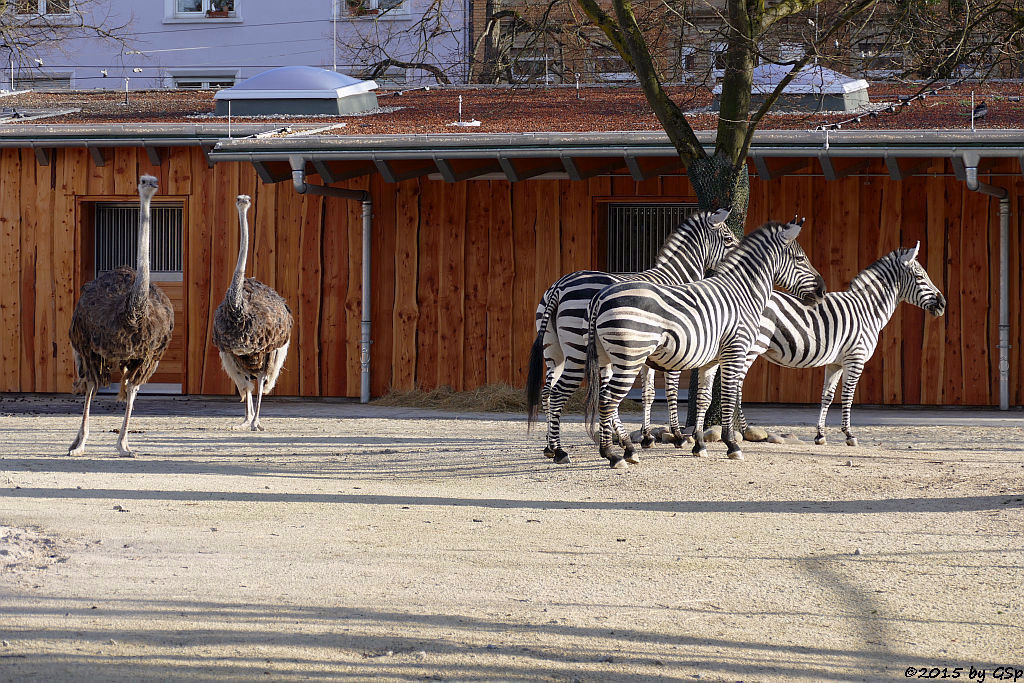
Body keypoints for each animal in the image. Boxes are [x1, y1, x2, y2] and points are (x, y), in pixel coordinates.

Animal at [528, 208, 737, 464]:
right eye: (728, 239)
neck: (675, 277)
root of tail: (559, 285)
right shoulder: (673, 347)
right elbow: (670, 391)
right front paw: (678, 436)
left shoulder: (647, 352)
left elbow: (648, 393)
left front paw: (647, 436)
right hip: (578, 351)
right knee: (561, 393)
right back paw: (562, 451)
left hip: (554, 351)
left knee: (548, 392)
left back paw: (551, 446)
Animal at [581, 222, 827, 466]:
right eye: (800, 258)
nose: (823, 291)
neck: (742, 293)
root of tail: (600, 297)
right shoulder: (735, 351)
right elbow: (728, 395)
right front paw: (732, 444)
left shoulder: (712, 360)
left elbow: (704, 398)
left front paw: (699, 444)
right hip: (630, 357)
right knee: (608, 399)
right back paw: (613, 454)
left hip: (607, 359)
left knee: (605, 397)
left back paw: (625, 449)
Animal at [733, 242, 946, 446]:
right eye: (919, 277)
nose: (943, 303)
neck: (866, 310)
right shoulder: (855, 358)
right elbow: (847, 396)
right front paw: (849, 435)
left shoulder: (835, 363)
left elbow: (826, 396)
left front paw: (820, 435)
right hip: (752, 347)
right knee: (736, 383)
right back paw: (744, 429)